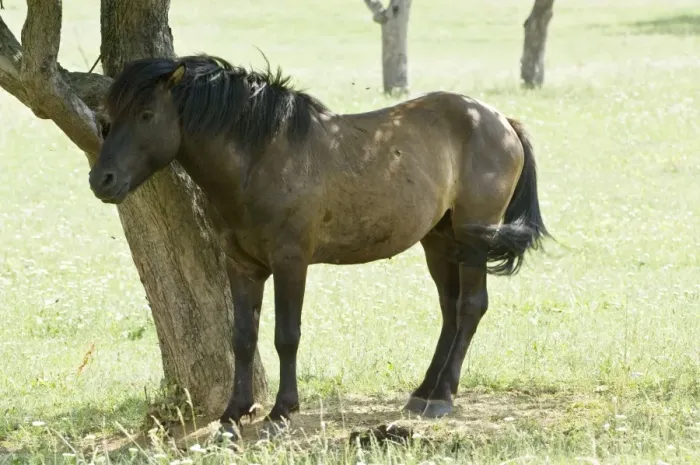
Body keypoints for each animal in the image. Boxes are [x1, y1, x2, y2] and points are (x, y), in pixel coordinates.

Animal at [88, 54, 550, 438]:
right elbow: (243, 337)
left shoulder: (291, 262)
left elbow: (286, 336)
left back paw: (443, 397)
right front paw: (233, 415)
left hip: (474, 236)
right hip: (438, 239)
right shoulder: (242, 265)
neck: (260, 158)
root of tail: (500, 120)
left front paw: (280, 413)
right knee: (450, 310)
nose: (101, 180)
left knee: (471, 306)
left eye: (146, 114)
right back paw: (425, 392)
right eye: (108, 116)